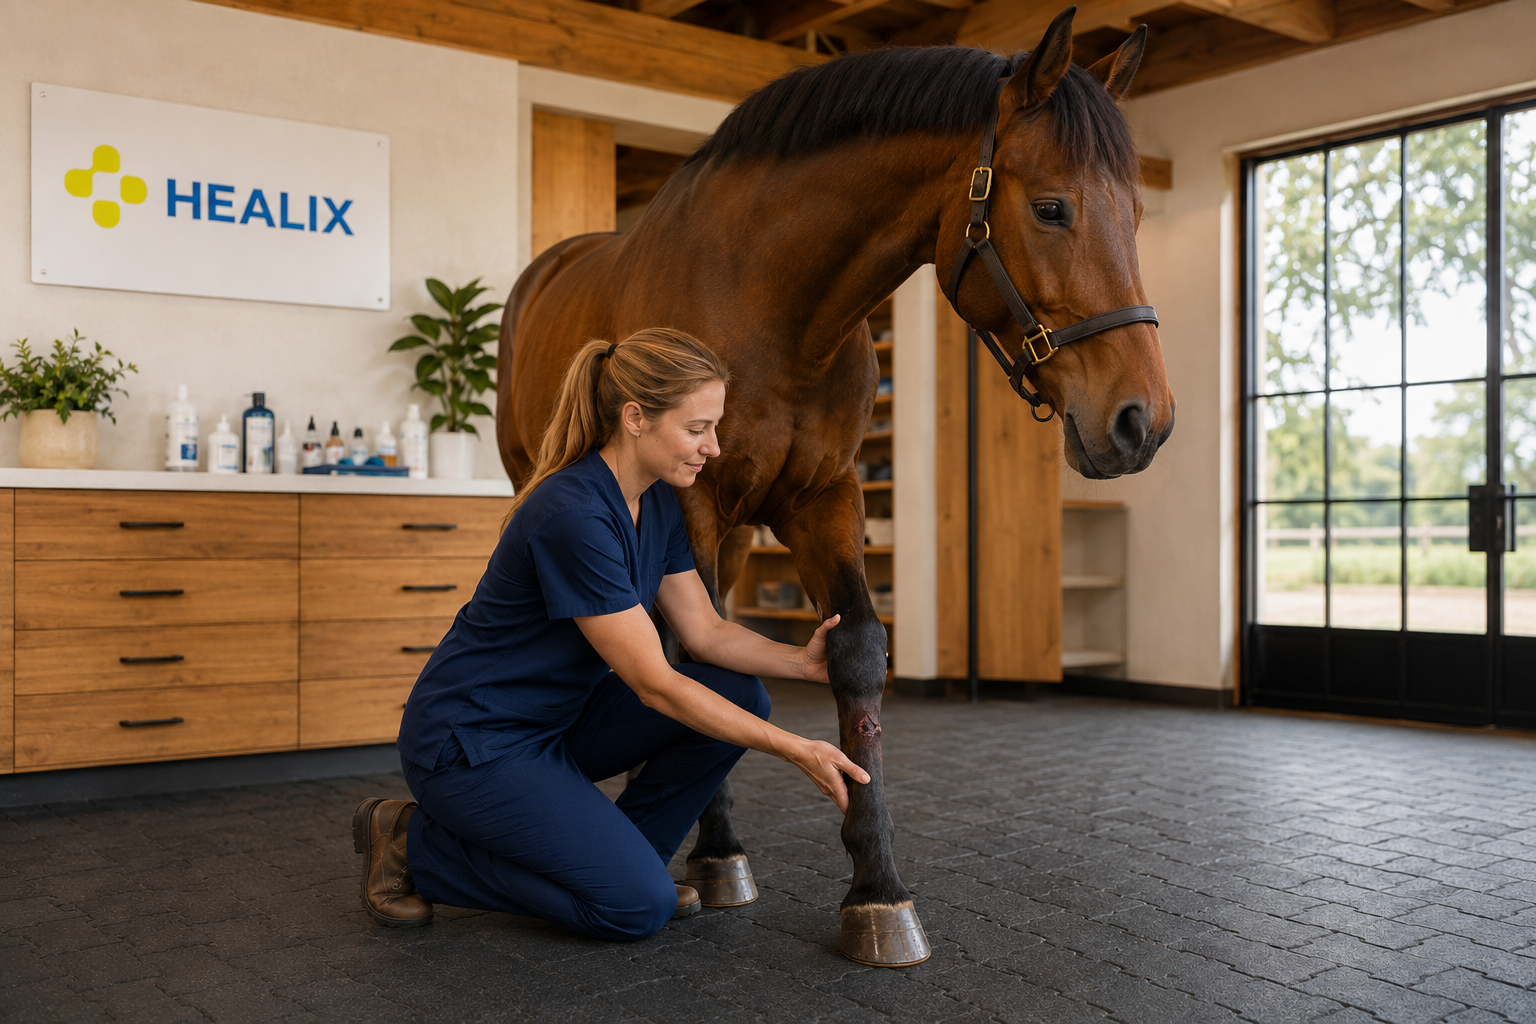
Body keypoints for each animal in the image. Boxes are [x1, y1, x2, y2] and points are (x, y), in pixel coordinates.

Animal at [497, 8, 1175, 966]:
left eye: (1140, 213)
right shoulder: (689, 503)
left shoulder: (822, 498)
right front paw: (712, 854)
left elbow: (849, 653)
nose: (1141, 420)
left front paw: (876, 889)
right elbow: (688, 658)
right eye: (1051, 207)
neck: (775, 304)